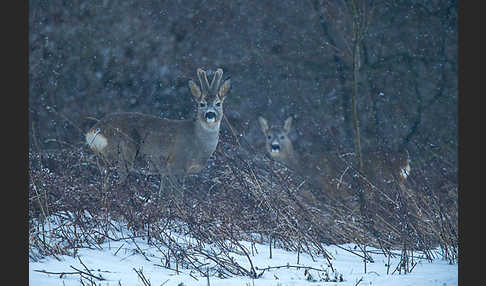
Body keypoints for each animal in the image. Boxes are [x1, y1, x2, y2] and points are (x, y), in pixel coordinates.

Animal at [85, 68, 232, 191]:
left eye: (218, 103)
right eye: (202, 104)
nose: (210, 114)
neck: (198, 142)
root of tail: (94, 131)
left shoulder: (166, 172)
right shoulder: (175, 165)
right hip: (123, 154)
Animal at [256, 116, 412, 201]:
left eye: (283, 136)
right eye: (268, 136)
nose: (275, 146)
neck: (300, 165)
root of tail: (403, 160)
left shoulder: (326, 188)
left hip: (384, 183)